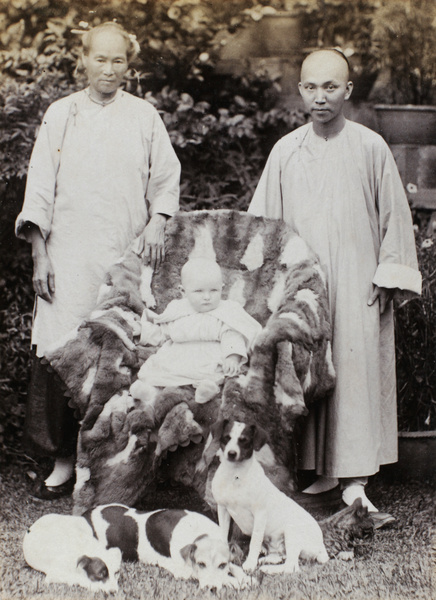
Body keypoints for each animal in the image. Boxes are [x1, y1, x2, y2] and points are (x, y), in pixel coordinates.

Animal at [23, 506, 254, 592]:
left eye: (222, 564)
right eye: (201, 563)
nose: (211, 589)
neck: (200, 533)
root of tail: (87, 515)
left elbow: (235, 567)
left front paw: (243, 576)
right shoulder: (183, 571)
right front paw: (234, 582)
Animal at [209, 420, 328, 576]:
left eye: (244, 440)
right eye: (226, 438)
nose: (231, 453)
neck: (235, 475)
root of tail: (321, 546)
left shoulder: (260, 514)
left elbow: (254, 541)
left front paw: (250, 564)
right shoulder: (222, 509)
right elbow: (223, 534)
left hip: (291, 532)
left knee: (291, 567)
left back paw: (268, 568)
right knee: (281, 556)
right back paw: (268, 560)